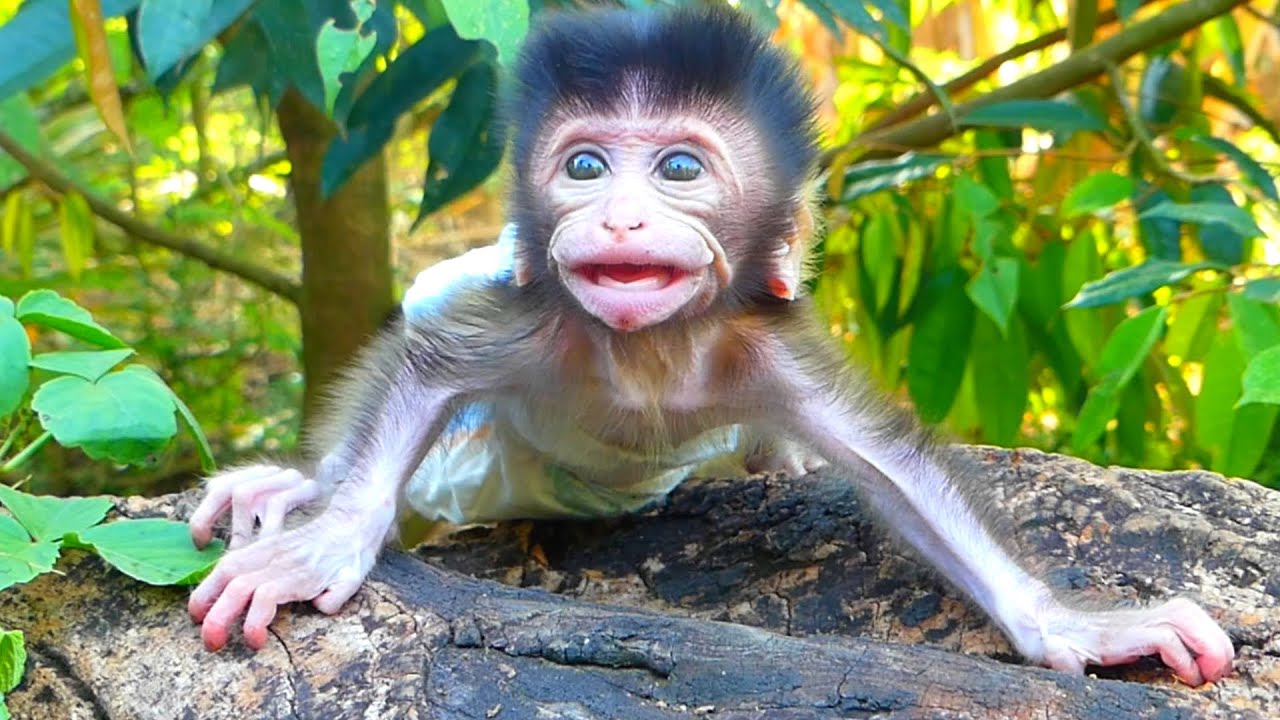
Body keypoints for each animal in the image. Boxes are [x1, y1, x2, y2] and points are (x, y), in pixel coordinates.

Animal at [187, 5, 1234, 686]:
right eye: (585, 165)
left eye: (680, 169)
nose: (616, 218)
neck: (649, 353)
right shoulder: (536, 317)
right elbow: (423, 369)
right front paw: (326, 535)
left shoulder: (766, 350)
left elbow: (898, 475)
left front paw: (1071, 629)